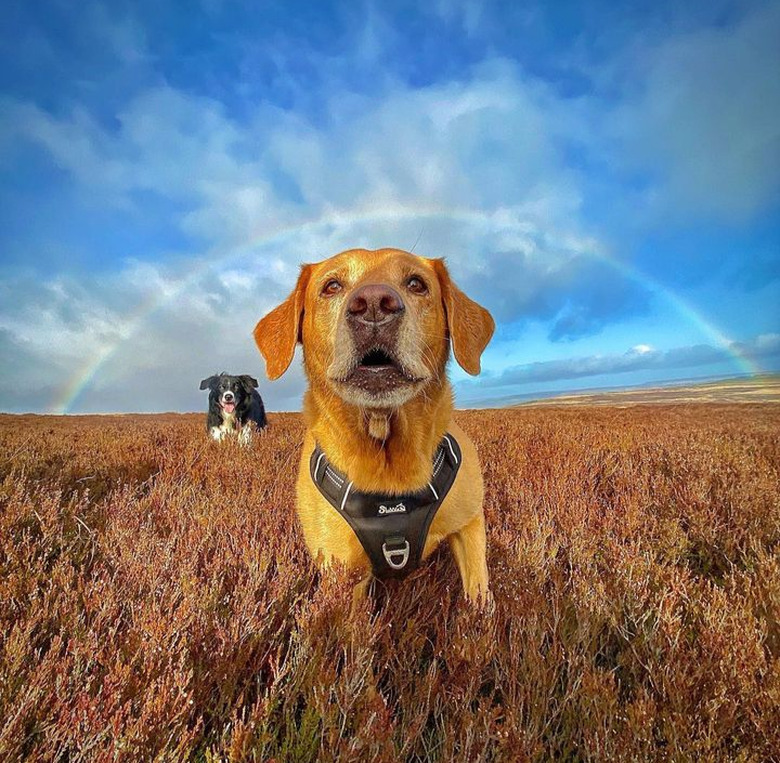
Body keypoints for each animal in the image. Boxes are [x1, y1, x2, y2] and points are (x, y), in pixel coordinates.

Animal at [253, 248, 494, 604]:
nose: (374, 304)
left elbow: (479, 596)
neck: (389, 468)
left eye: (416, 283)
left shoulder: (470, 525)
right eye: (332, 286)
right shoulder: (343, 573)